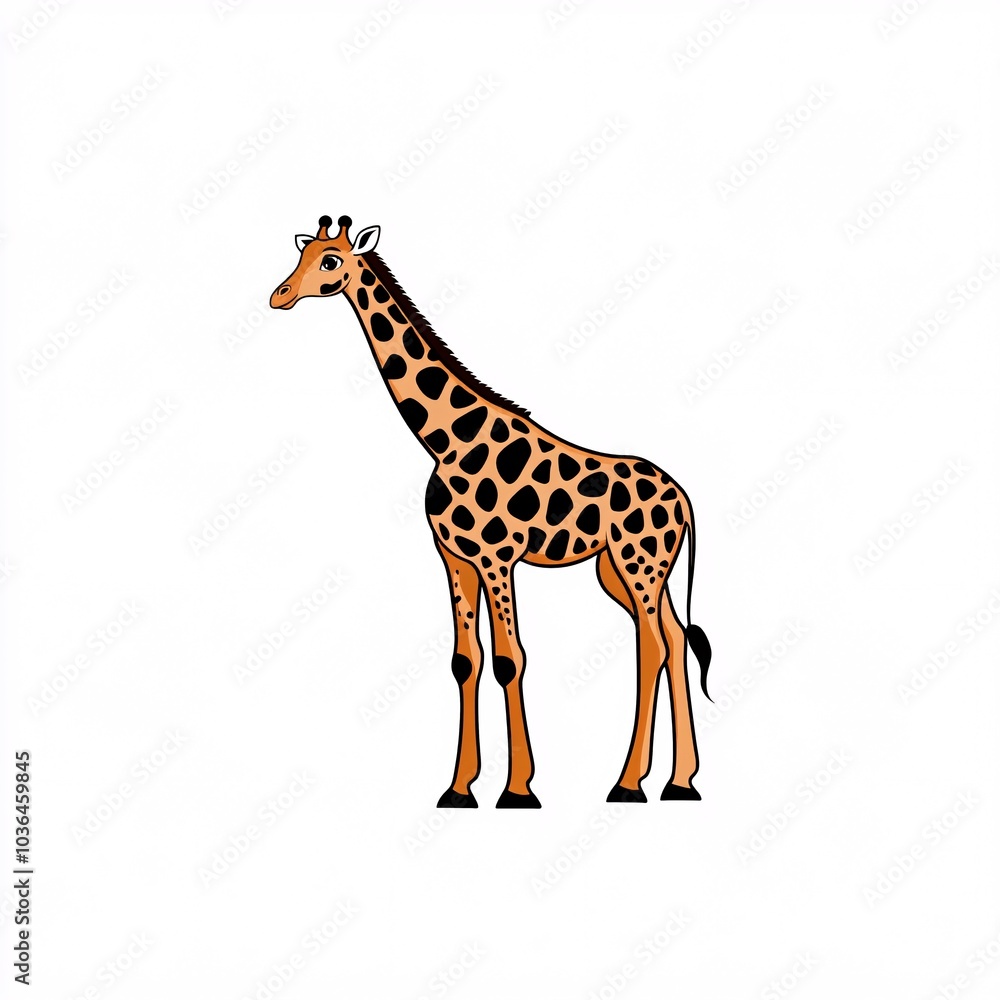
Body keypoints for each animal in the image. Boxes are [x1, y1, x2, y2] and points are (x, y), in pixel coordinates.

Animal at [270, 215, 712, 809]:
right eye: (303, 254)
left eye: (331, 260)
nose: (280, 294)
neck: (445, 440)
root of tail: (683, 497)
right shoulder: (454, 557)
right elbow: (466, 661)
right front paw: (459, 787)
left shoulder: (499, 558)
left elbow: (509, 658)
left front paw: (518, 789)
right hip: (625, 569)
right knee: (675, 641)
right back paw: (680, 781)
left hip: (638, 562)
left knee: (653, 646)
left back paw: (627, 783)